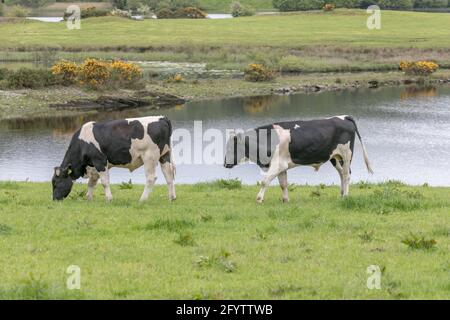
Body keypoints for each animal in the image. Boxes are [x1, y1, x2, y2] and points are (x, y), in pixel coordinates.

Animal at [223, 116, 374, 204]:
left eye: (232, 147)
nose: (225, 164)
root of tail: (343, 117)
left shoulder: (277, 164)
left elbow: (265, 181)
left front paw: (259, 199)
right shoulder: (282, 165)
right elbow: (283, 184)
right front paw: (285, 200)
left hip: (346, 154)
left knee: (347, 175)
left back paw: (346, 196)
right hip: (335, 158)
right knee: (342, 174)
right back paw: (341, 194)